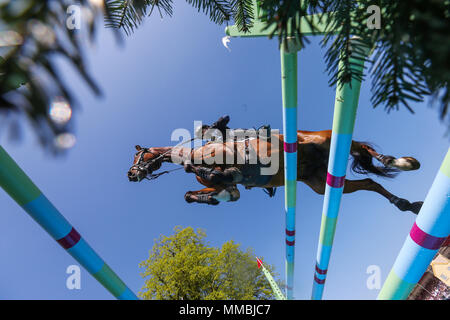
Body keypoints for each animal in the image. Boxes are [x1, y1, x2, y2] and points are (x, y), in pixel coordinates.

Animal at [128, 125, 424, 215]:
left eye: (136, 155)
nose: (130, 174)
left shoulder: (228, 163)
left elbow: (215, 173)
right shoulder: (228, 186)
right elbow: (198, 194)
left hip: (330, 140)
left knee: (365, 149)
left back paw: (403, 162)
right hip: (321, 183)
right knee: (370, 183)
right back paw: (405, 204)